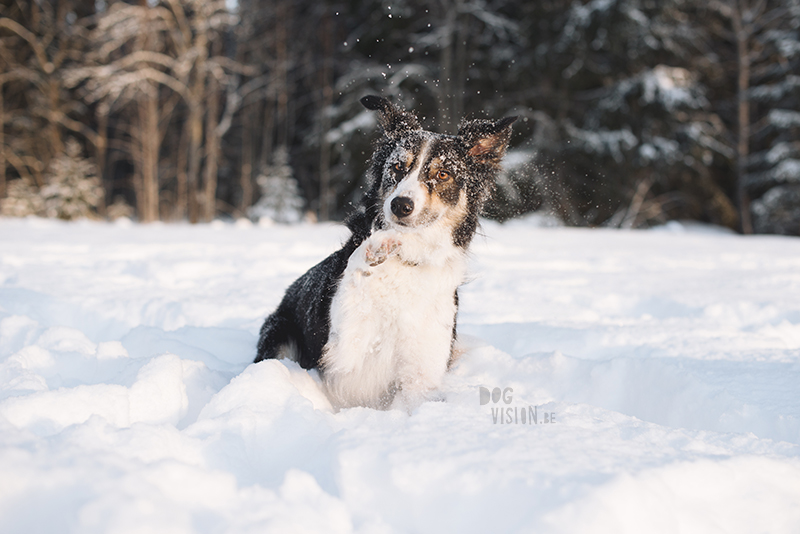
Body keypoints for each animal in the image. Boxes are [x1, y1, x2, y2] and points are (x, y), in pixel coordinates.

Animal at [256, 96, 520, 412]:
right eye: (397, 166)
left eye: (443, 173)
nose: (400, 205)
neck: (407, 261)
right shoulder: (341, 356)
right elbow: (352, 286)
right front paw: (373, 249)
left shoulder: (422, 374)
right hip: (278, 331)